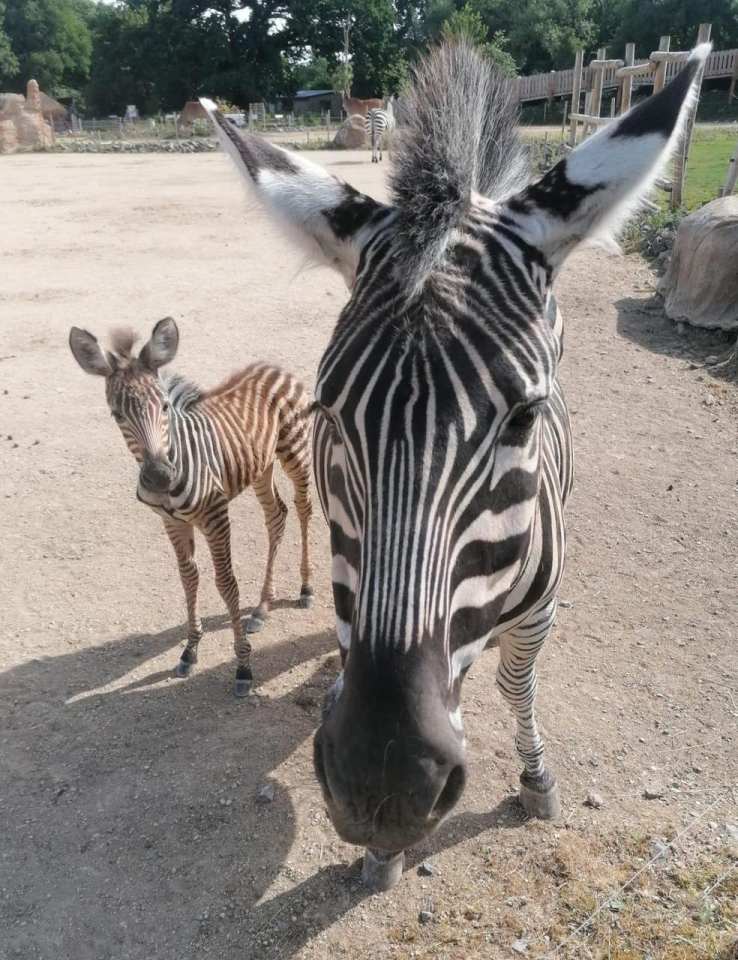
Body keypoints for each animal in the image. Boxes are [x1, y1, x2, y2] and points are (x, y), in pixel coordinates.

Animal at [72, 318, 316, 692]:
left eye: (164, 407)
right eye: (116, 414)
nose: (158, 477)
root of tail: (274, 367)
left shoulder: (215, 516)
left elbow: (226, 583)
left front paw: (243, 666)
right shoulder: (172, 522)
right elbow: (188, 577)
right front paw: (189, 650)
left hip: (296, 452)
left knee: (304, 508)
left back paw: (305, 588)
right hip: (260, 465)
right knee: (277, 515)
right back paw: (262, 607)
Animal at [200, 41, 708, 888]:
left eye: (524, 417)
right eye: (329, 414)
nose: (381, 784)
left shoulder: (538, 609)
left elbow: (513, 683)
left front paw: (535, 778)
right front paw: (381, 852)